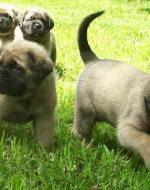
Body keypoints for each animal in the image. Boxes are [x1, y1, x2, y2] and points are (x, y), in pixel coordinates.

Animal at [72, 11, 150, 169]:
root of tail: (93, 60)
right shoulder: (128, 129)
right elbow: (146, 140)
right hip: (85, 113)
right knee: (81, 132)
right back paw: (87, 148)